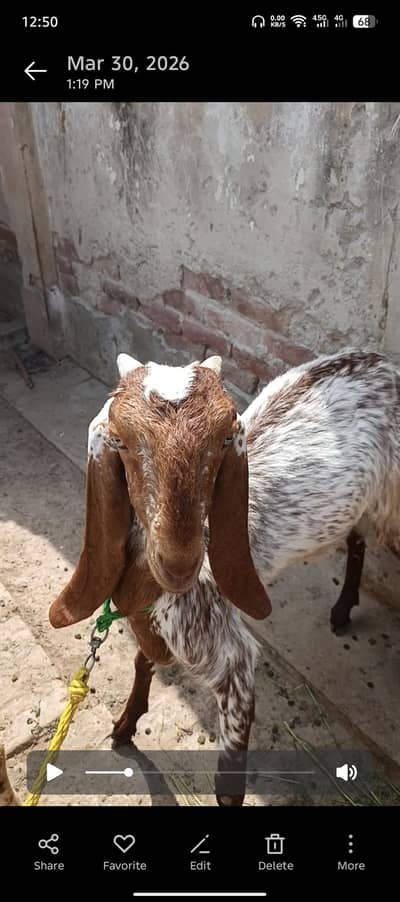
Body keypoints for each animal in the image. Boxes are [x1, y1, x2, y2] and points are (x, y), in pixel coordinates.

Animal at [49, 348, 400, 806]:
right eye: (121, 441)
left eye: (223, 440)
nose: (179, 563)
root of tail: (383, 361)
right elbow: (143, 660)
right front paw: (125, 726)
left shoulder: (232, 661)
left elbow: (228, 787)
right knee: (357, 539)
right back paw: (341, 611)